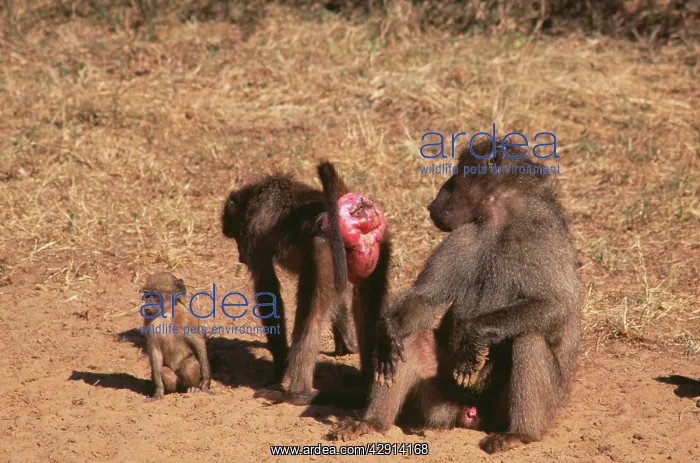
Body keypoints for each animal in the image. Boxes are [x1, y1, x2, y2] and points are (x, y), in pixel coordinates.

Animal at [140, 272, 212, 401]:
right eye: (147, 295)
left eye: (155, 295)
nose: (147, 307)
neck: (166, 313)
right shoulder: (148, 323)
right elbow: (155, 351)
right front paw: (158, 392)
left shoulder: (186, 317)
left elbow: (198, 343)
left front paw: (205, 385)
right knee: (164, 371)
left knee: (188, 364)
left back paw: (192, 388)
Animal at [221, 161, 392, 404]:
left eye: (236, 236)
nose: (240, 256)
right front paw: (346, 342)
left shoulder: (253, 235)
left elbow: (267, 289)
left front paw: (278, 370)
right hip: (375, 245)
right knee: (367, 311)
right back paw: (365, 382)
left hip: (324, 248)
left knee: (311, 316)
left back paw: (295, 393)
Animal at [330, 137, 580, 454]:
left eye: (459, 173)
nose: (434, 201)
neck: (503, 218)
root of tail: (473, 411)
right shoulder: (463, 236)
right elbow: (425, 297)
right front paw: (387, 332)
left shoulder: (542, 236)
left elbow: (556, 306)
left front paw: (475, 335)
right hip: (443, 398)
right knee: (412, 338)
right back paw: (370, 422)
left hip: (544, 402)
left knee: (528, 338)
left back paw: (519, 434)